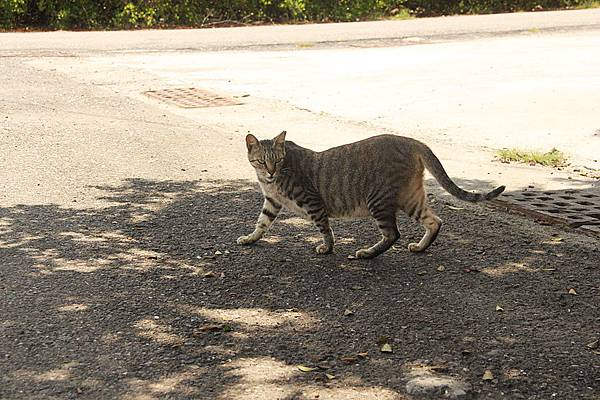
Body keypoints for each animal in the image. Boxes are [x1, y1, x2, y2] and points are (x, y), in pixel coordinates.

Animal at [237, 131, 504, 260]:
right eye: (262, 161)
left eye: (277, 160)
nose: (271, 171)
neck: (271, 181)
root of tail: (412, 141)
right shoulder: (272, 202)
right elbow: (261, 223)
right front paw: (250, 238)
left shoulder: (313, 202)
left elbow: (325, 229)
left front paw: (327, 248)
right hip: (410, 198)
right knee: (434, 221)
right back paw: (419, 247)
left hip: (379, 200)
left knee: (393, 234)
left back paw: (367, 253)